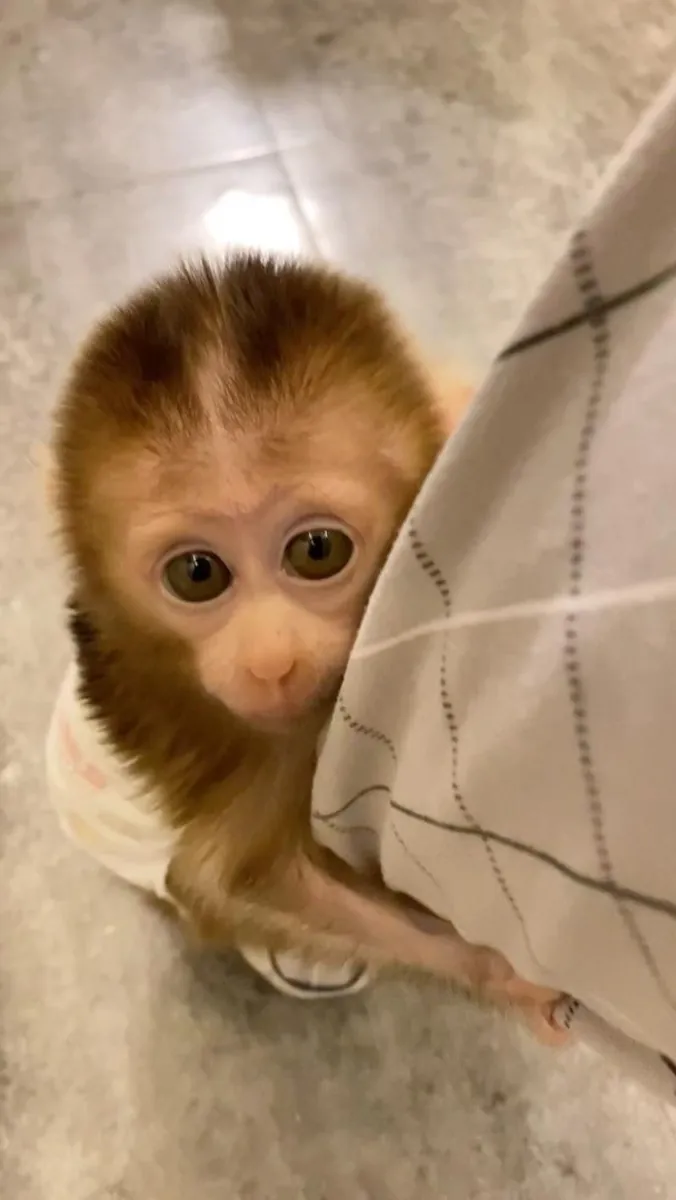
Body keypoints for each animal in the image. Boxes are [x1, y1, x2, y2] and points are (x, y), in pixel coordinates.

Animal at [46, 252, 564, 1040]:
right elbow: (230, 881)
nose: (270, 661)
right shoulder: (261, 747)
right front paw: (487, 968)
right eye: (197, 574)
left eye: (317, 551)